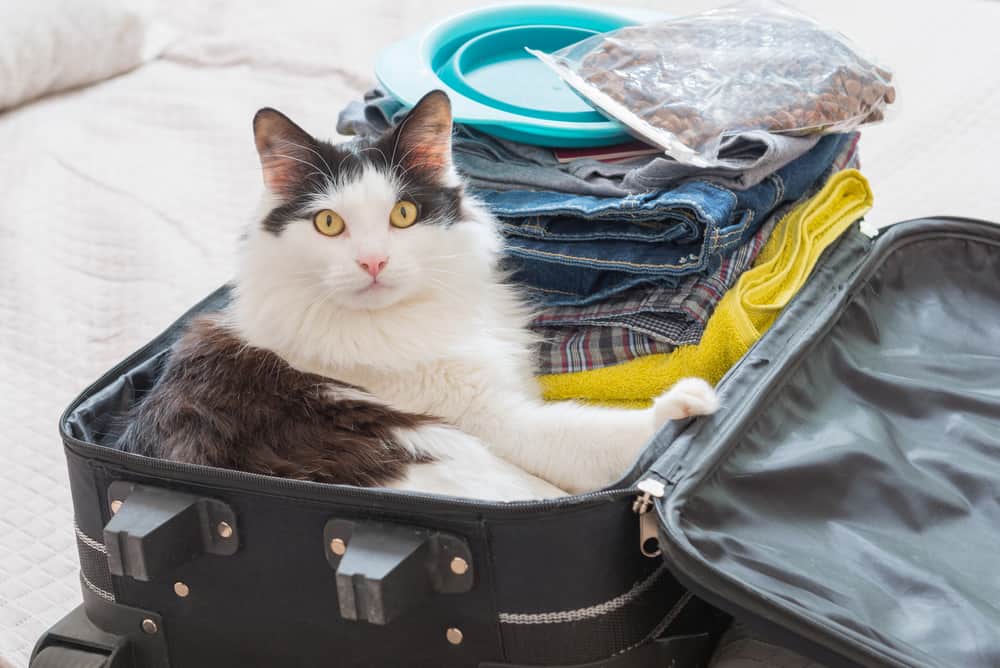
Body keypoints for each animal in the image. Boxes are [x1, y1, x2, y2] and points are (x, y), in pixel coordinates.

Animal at [119, 90, 720, 500]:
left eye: (403, 214)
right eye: (329, 223)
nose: (373, 261)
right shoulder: (503, 422)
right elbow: (602, 437)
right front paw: (685, 403)